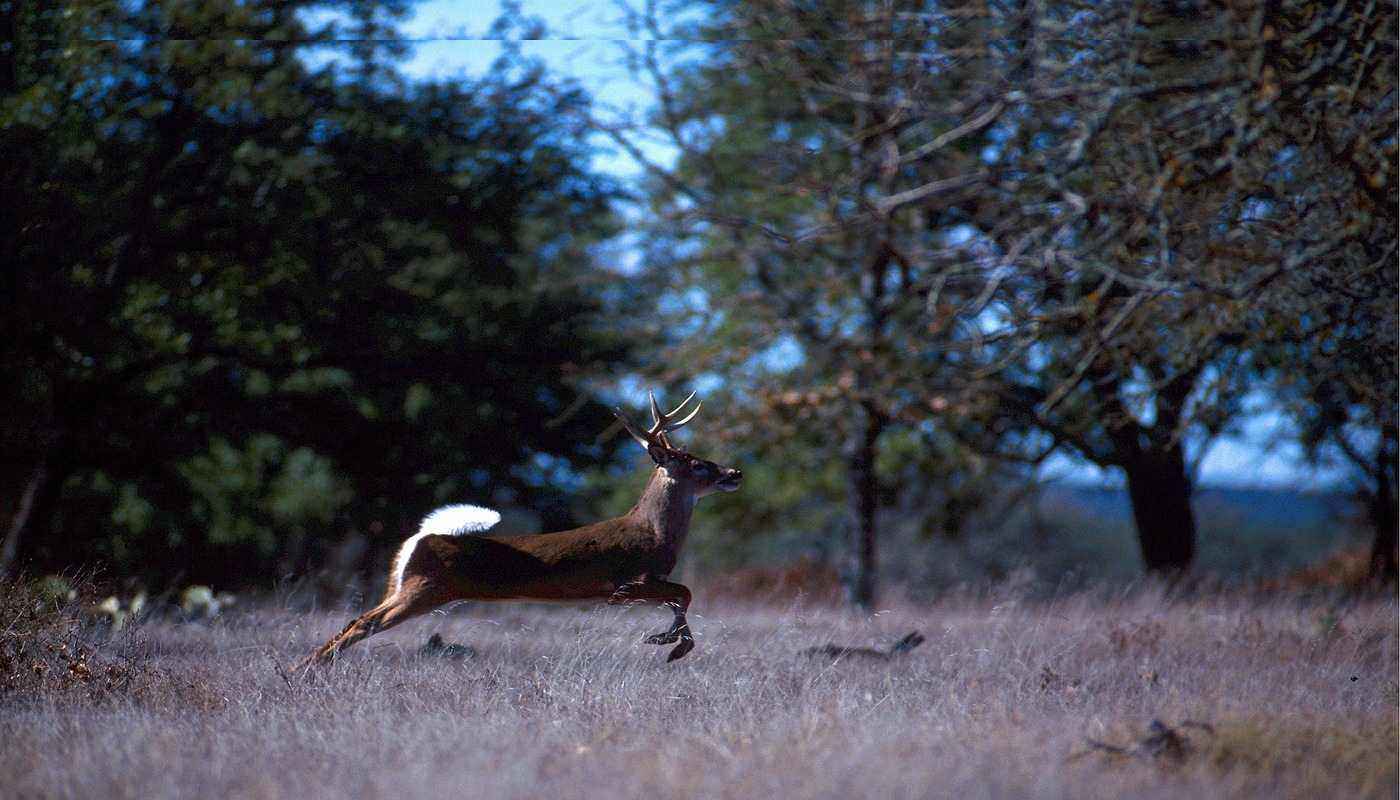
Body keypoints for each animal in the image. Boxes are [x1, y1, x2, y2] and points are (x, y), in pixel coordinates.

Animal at [298, 391, 741, 669]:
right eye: (697, 463)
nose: (734, 473)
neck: (654, 533)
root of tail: (421, 538)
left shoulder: (639, 586)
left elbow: (681, 598)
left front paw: (665, 641)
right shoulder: (627, 583)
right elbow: (685, 593)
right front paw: (671, 646)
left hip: (403, 586)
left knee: (355, 620)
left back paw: (302, 668)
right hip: (424, 589)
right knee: (361, 624)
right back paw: (304, 670)